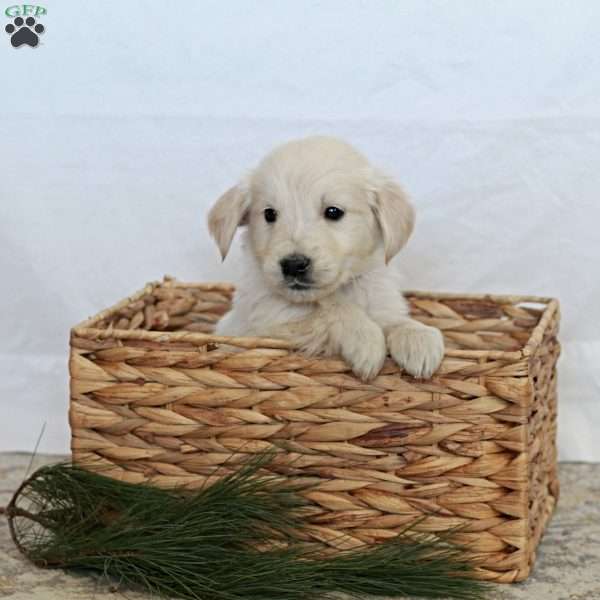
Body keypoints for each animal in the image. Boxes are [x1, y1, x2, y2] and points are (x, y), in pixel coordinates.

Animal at [209, 136, 442, 380]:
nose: (293, 265)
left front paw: (418, 337)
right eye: (269, 214)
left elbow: (393, 319)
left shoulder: (381, 302)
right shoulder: (267, 324)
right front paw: (366, 337)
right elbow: (330, 313)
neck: (340, 291)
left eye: (333, 212)